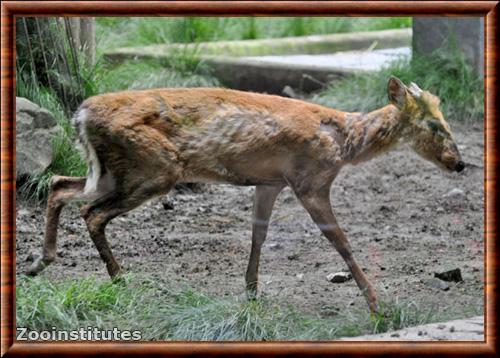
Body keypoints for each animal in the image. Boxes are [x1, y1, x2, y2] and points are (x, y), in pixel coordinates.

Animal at [26, 77, 464, 312]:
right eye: (434, 125)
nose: (459, 164)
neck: (343, 141)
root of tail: (81, 115)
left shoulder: (270, 182)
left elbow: (259, 233)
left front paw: (251, 290)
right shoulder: (310, 180)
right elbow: (339, 240)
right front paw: (375, 303)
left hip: (111, 170)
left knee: (60, 185)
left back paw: (40, 262)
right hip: (154, 168)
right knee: (92, 213)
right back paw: (121, 279)